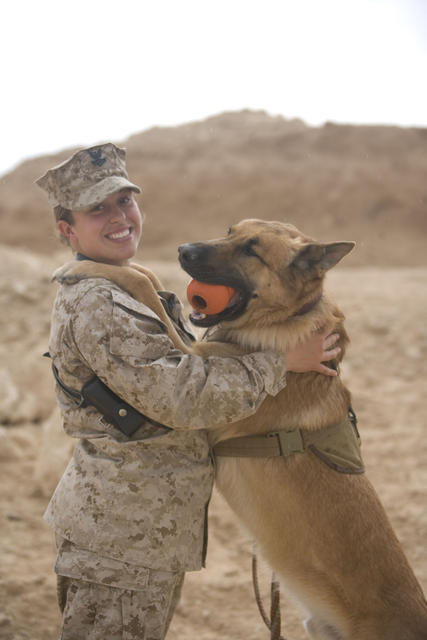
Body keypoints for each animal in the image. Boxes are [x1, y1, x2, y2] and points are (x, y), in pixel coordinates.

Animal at [55, 219, 426, 636]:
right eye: (230, 231)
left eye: (252, 250)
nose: (183, 250)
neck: (284, 317)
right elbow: (148, 278)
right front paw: (113, 265)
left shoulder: (190, 357)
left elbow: (144, 290)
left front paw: (81, 268)